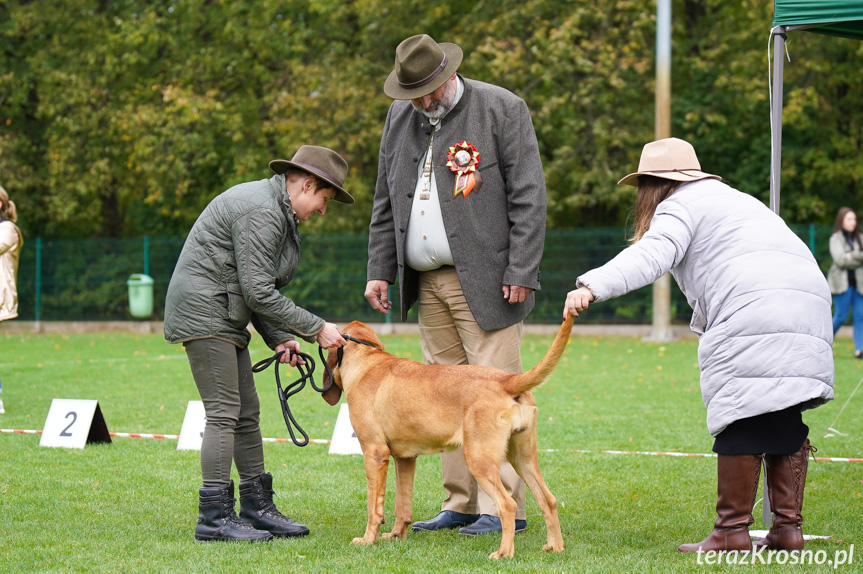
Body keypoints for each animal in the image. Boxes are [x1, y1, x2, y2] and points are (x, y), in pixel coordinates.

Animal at [320, 318, 572, 560]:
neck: (366, 360)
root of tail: (508, 380)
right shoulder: (405, 458)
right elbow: (402, 504)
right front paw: (395, 536)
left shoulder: (374, 454)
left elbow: (374, 507)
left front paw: (367, 539)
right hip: (522, 458)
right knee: (548, 500)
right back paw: (555, 547)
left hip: (479, 458)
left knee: (507, 504)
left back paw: (503, 553)